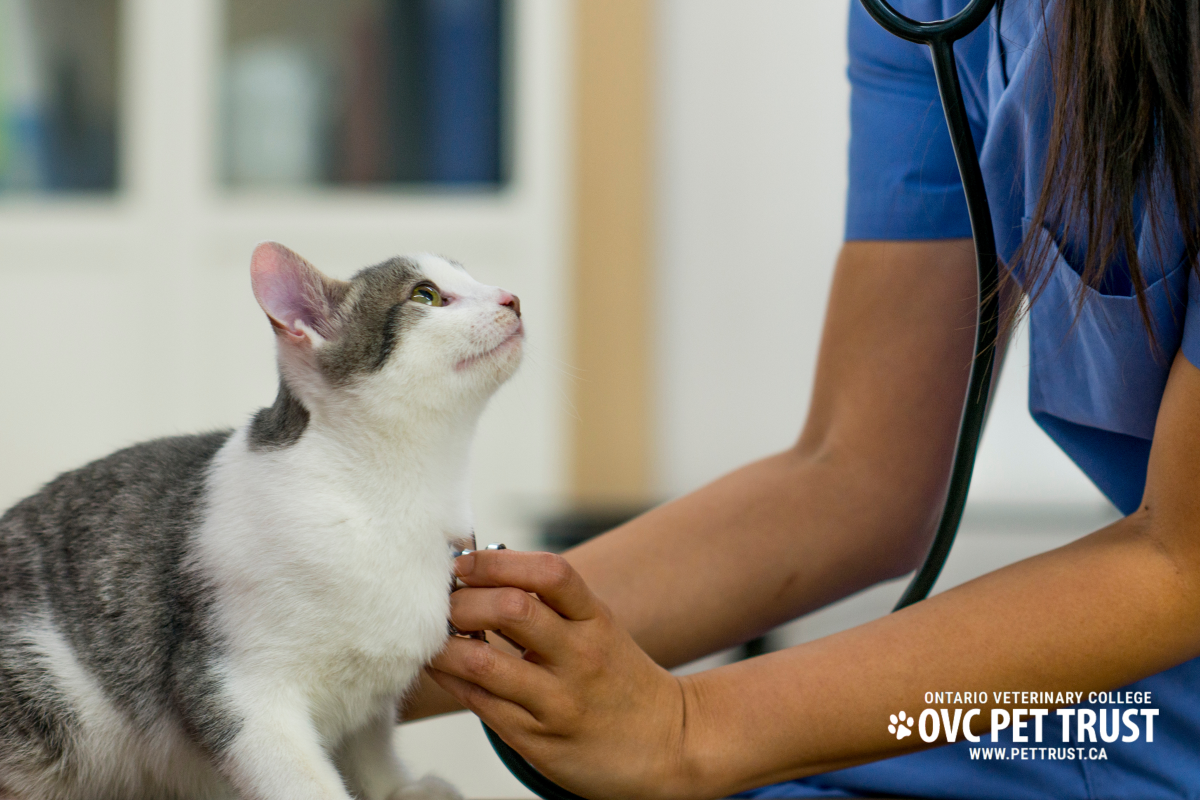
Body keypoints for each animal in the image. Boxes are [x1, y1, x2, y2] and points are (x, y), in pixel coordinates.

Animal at [0, 244, 525, 800]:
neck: (389, 501)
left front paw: (398, 789)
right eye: (425, 295)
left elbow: (370, 747)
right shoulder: (232, 684)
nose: (512, 298)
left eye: (473, 277)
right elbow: (304, 783)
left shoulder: (369, 700)